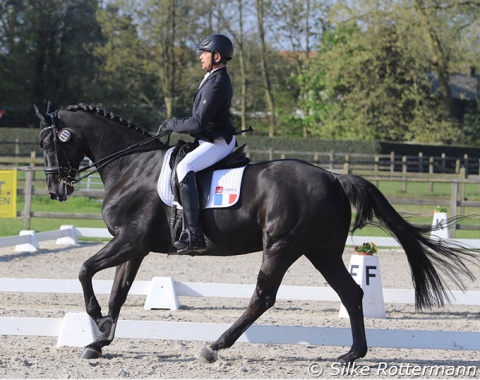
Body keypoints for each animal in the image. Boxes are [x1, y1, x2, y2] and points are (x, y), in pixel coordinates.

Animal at [34, 102, 476, 364]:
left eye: (50, 144)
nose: (56, 190)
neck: (132, 167)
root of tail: (333, 177)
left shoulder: (128, 241)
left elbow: (85, 271)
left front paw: (95, 324)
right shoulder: (135, 248)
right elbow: (118, 292)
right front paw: (100, 339)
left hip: (281, 246)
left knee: (263, 297)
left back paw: (215, 346)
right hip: (321, 250)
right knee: (351, 293)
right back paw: (352, 353)